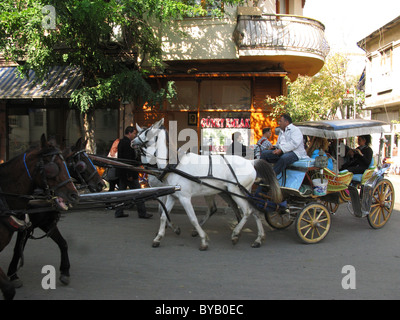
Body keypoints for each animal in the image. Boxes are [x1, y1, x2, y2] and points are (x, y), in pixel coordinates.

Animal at [6, 139, 106, 288]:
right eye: (81, 163)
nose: (100, 184)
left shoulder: (47, 223)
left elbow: (63, 243)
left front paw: (65, 271)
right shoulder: (26, 227)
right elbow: (18, 249)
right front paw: (13, 274)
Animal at [133, 119, 282, 250]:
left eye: (147, 131)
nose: (132, 141)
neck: (174, 165)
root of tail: (251, 162)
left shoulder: (184, 198)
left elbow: (192, 218)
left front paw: (203, 240)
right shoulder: (173, 196)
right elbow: (164, 216)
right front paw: (158, 238)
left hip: (236, 192)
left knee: (247, 211)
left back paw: (236, 234)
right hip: (244, 192)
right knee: (255, 211)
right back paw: (258, 239)